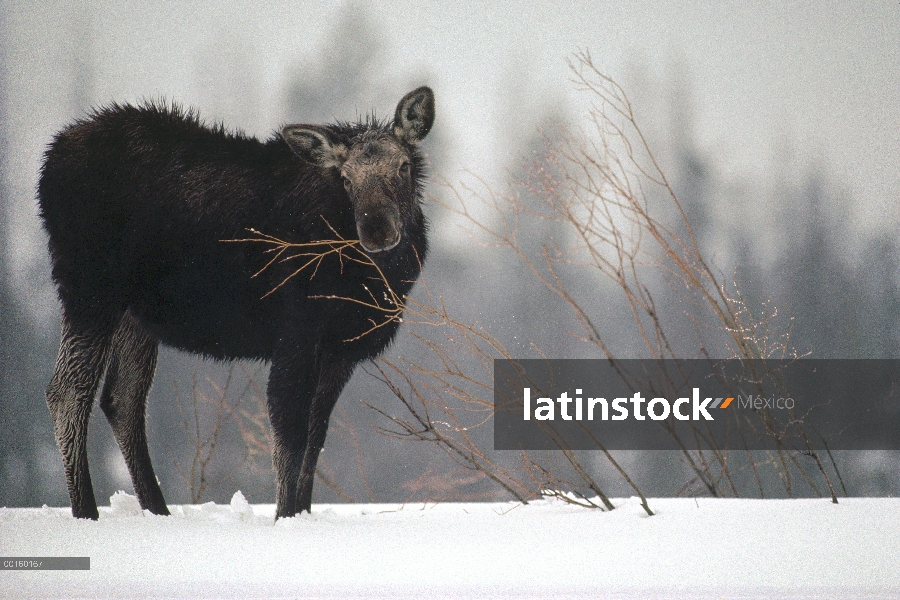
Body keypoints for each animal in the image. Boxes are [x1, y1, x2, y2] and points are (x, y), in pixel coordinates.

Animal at [37, 86, 436, 516]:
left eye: (402, 167)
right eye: (345, 178)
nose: (377, 230)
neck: (370, 281)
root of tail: (50, 161)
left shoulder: (341, 350)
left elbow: (316, 439)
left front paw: (302, 513)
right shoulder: (297, 333)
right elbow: (289, 437)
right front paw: (285, 515)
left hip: (135, 312)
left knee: (122, 397)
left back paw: (157, 510)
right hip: (89, 287)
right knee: (67, 391)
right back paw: (87, 512)